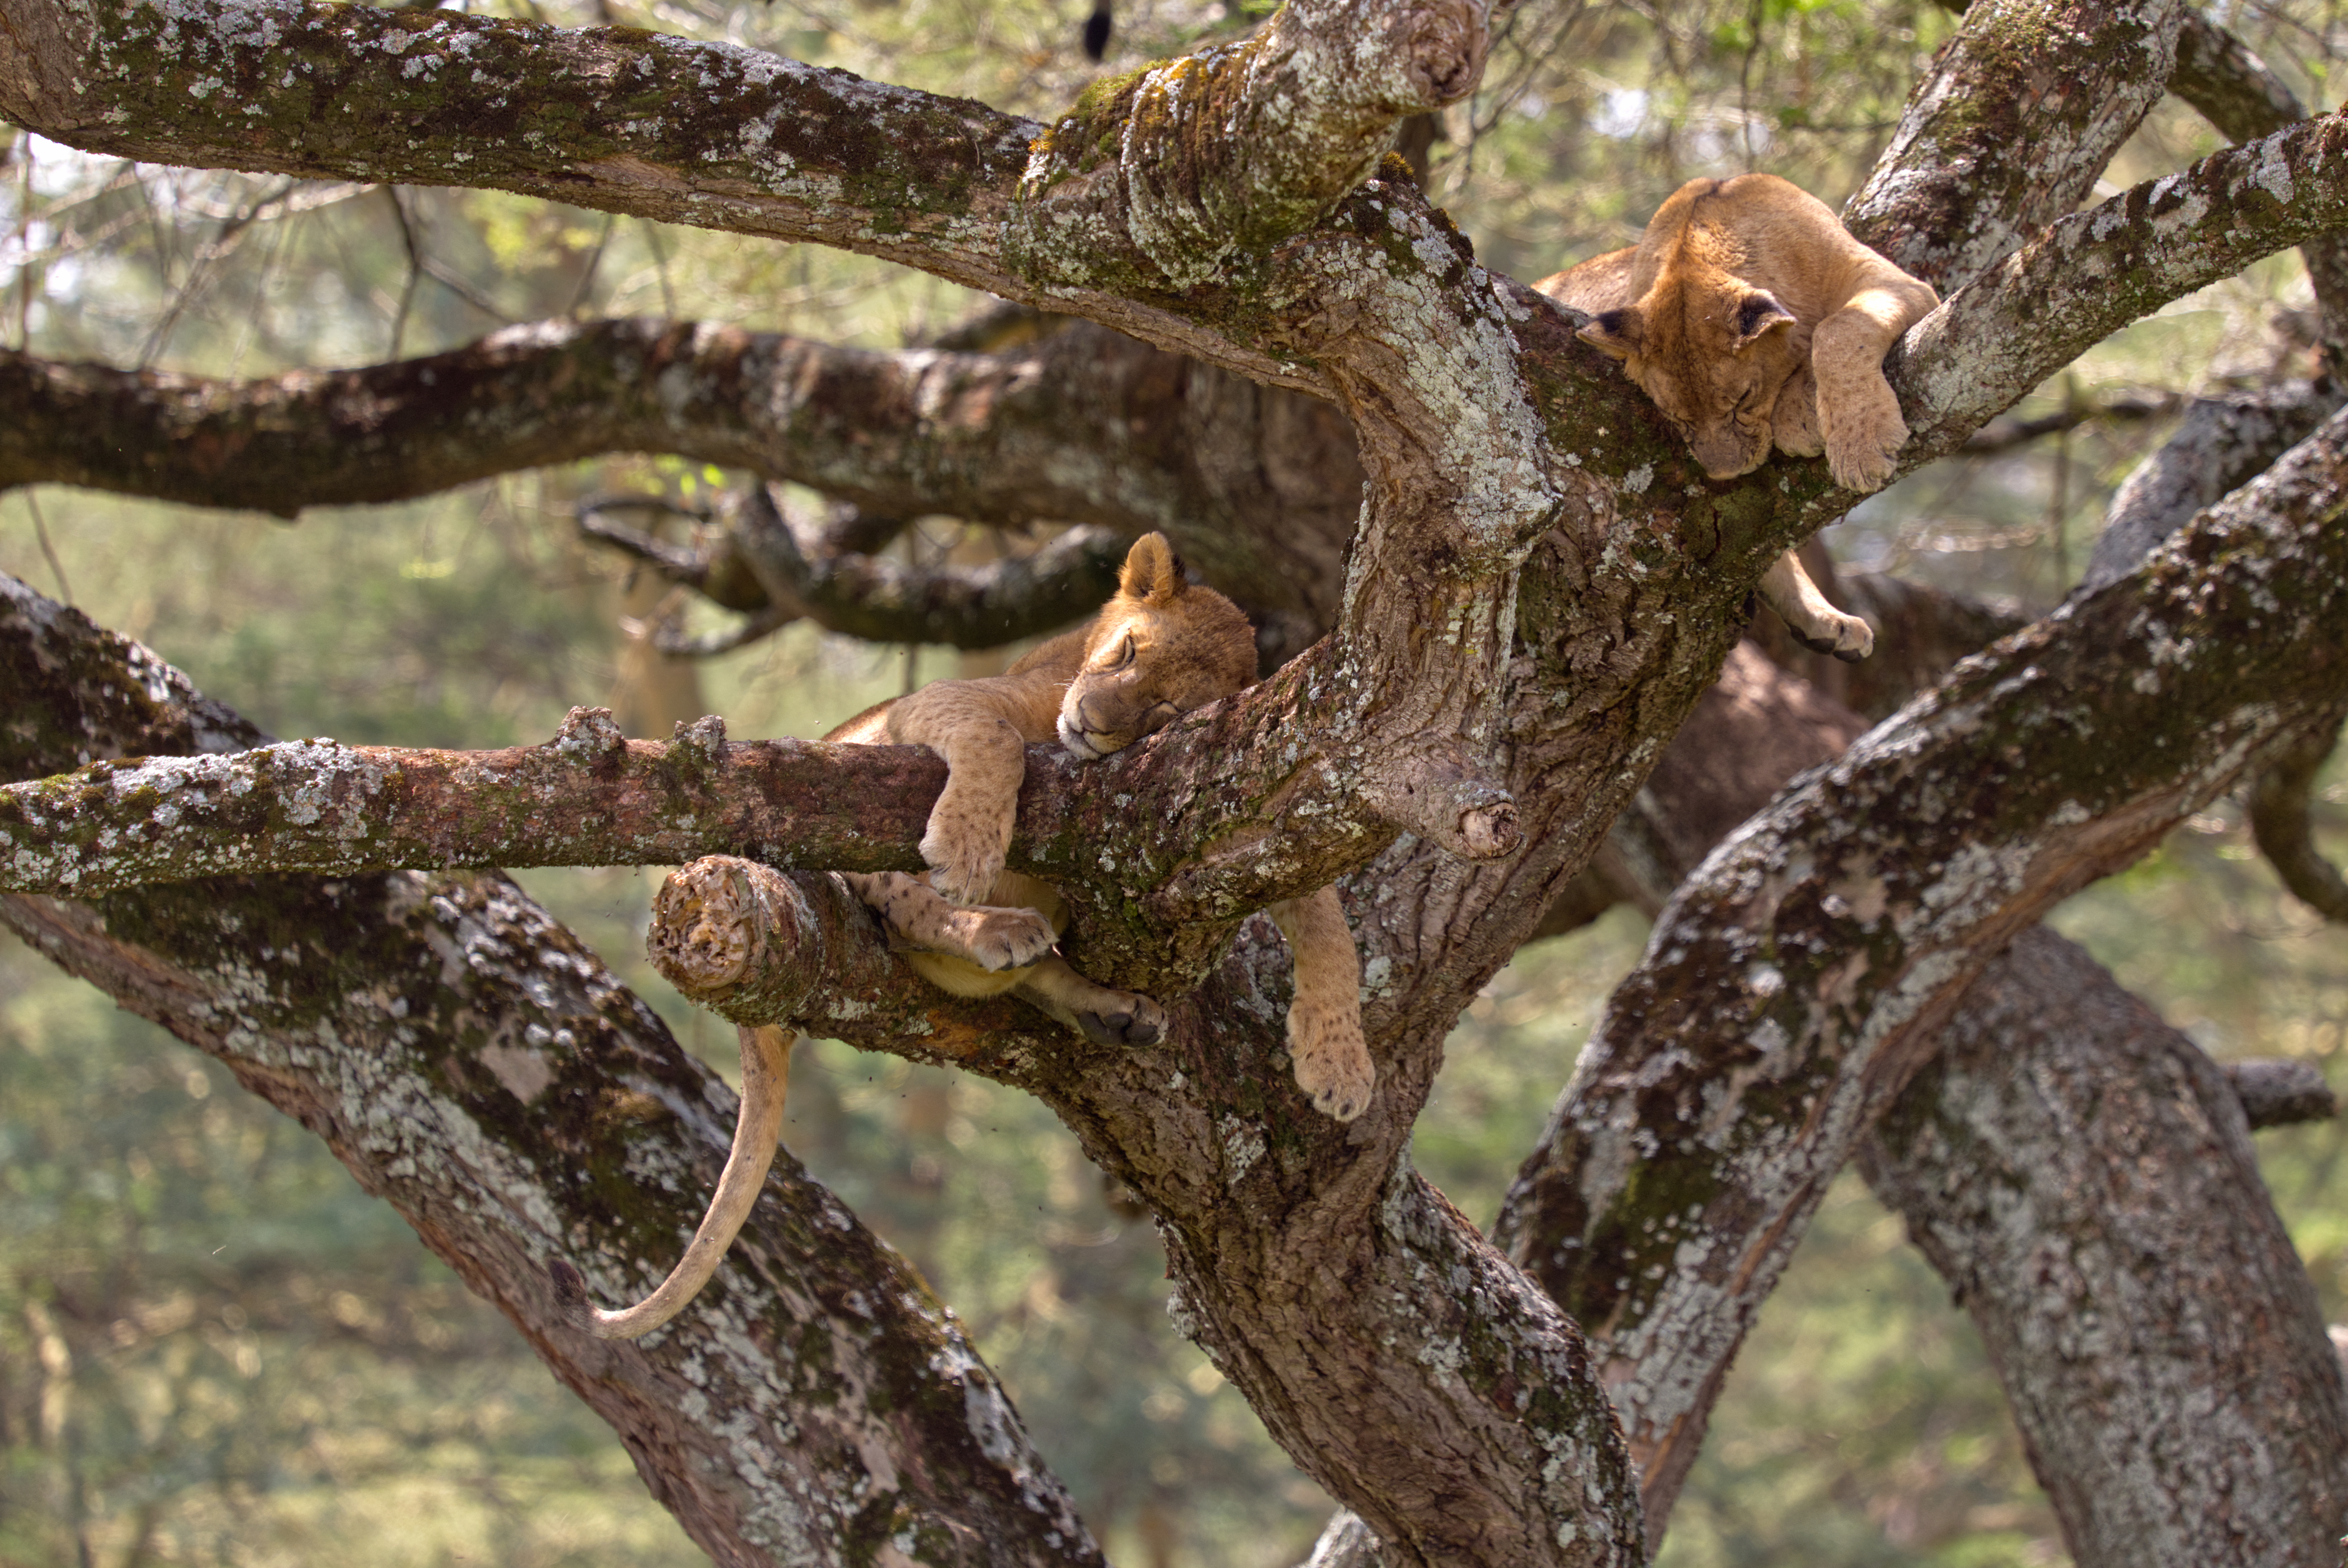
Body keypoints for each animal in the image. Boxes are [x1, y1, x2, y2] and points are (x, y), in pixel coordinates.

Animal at [554, 532, 1373, 1339]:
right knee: (909, 910)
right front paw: (971, 845)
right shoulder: (953, 699)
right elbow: (995, 739)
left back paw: (1110, 1009)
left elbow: (1325, 912)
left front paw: (1340, 1063)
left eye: (1164, 711)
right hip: (857, 781)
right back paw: (994, 927)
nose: (1093, 720)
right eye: (1127, 652)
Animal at [1536, 172, 1941, 661]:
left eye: (1743, 398)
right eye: (1677, 418)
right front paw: (1804, 416)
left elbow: (1839, 329)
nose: (1727, 473)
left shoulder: (1891, 280)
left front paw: (1854, 443)